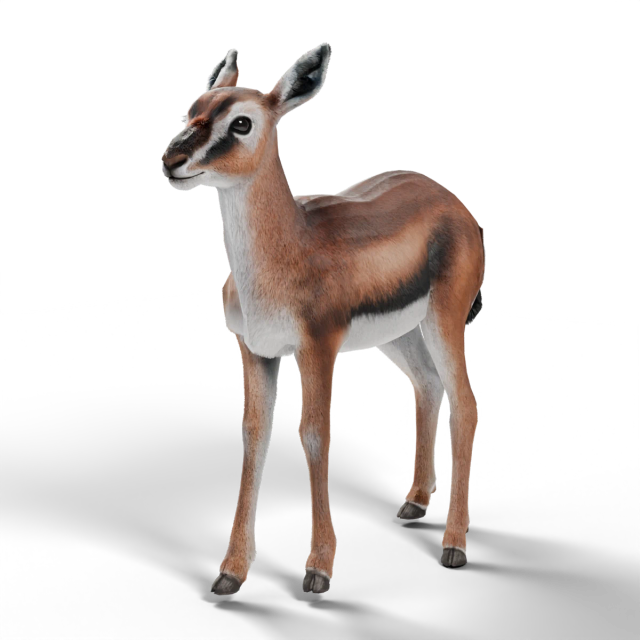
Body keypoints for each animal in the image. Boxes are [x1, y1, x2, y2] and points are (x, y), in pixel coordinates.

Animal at [160, 44, 485, 594]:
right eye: (193, 109)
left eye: (242, 121)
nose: (172, 161)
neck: (291, 246)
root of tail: (453, 202)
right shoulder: (255, 350)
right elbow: (254, 436)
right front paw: (232, 569)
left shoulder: (317, 348)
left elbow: (313, 436)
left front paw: (318, 566)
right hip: (401, 335)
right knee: (426, 385)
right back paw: (415, 501)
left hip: (443, 322)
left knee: (464, 401)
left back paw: (454, 543)